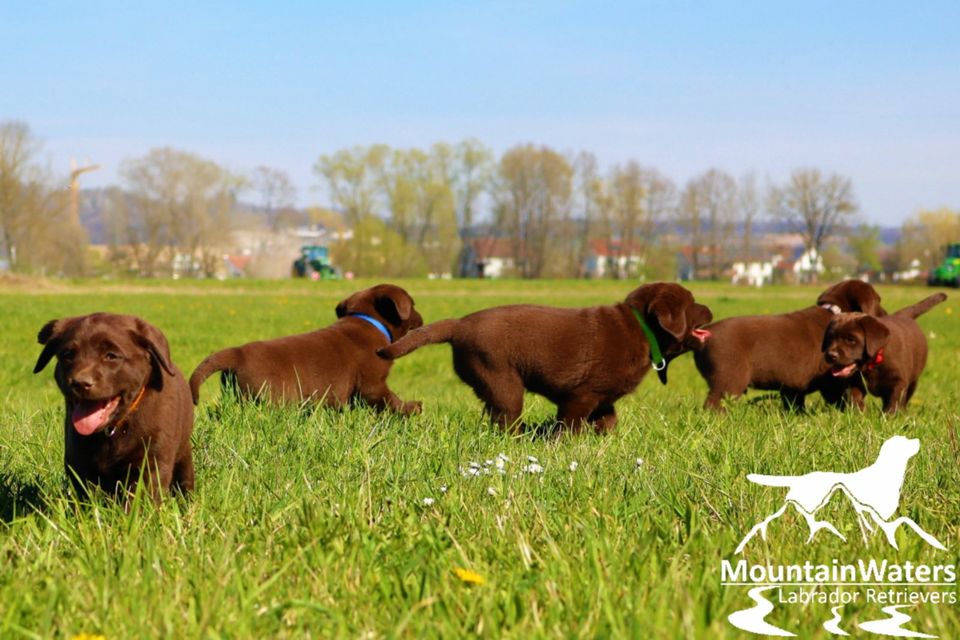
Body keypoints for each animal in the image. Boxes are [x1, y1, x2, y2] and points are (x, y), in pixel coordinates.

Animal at [33, 314, 195, 500]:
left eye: (111, 356)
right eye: (67, 355)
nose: (80, 383)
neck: (114, 427)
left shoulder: (151, 459)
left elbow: (141, 496)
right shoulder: (78, 459)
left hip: (183, 455)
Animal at [189, 282, 422, 412]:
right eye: (413, 305)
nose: (421, 318)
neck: (368, 321)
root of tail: (238, 353)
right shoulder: (372, 383)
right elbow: (390, 399)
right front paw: (411, 408)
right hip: (271, 396)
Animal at [378, 282, 708, 432]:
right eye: (692, 304)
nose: (709, 309)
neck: (640, 328)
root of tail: (459, 324)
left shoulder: (603, 398)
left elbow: (608, 419)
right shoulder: (581, 395)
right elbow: (569, 425)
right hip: (503, 380)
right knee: (506, 418)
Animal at [688, 278, 884, 410]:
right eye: (879, 301)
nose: (885, 314)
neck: (834, 311)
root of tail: (705, 335)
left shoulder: (792, 386)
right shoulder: (831, 380)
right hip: (729, 379)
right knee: (713, 405)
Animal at [816, 292, 944, 412]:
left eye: (851, 340)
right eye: (830, 338)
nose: (830, 356)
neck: (875, 361)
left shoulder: (898, 382)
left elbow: (893, 403)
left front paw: (889, 417)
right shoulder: (853, 382)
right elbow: (854, 399)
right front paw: (858, 414)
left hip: (914, 380)